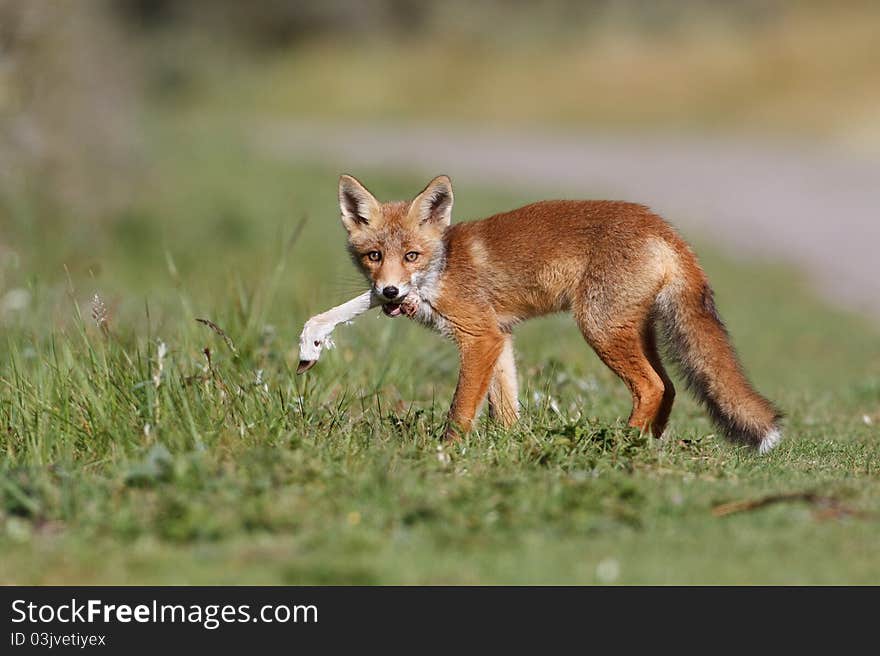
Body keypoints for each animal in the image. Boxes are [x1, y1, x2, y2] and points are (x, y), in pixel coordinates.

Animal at [326, 172, 780, 454]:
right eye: (374, 256)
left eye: (411, 256)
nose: (388, 291)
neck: (445, 266)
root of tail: (662, 226)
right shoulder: (499, 336)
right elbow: (506, 407)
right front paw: (509, 448)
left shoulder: (479, 337)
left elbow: (461, 408)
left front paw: (448, 451)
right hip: (632, 329)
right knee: (668, 387)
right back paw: (649, 445)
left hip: (599, 327)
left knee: (651, 386)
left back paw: (623, 445)